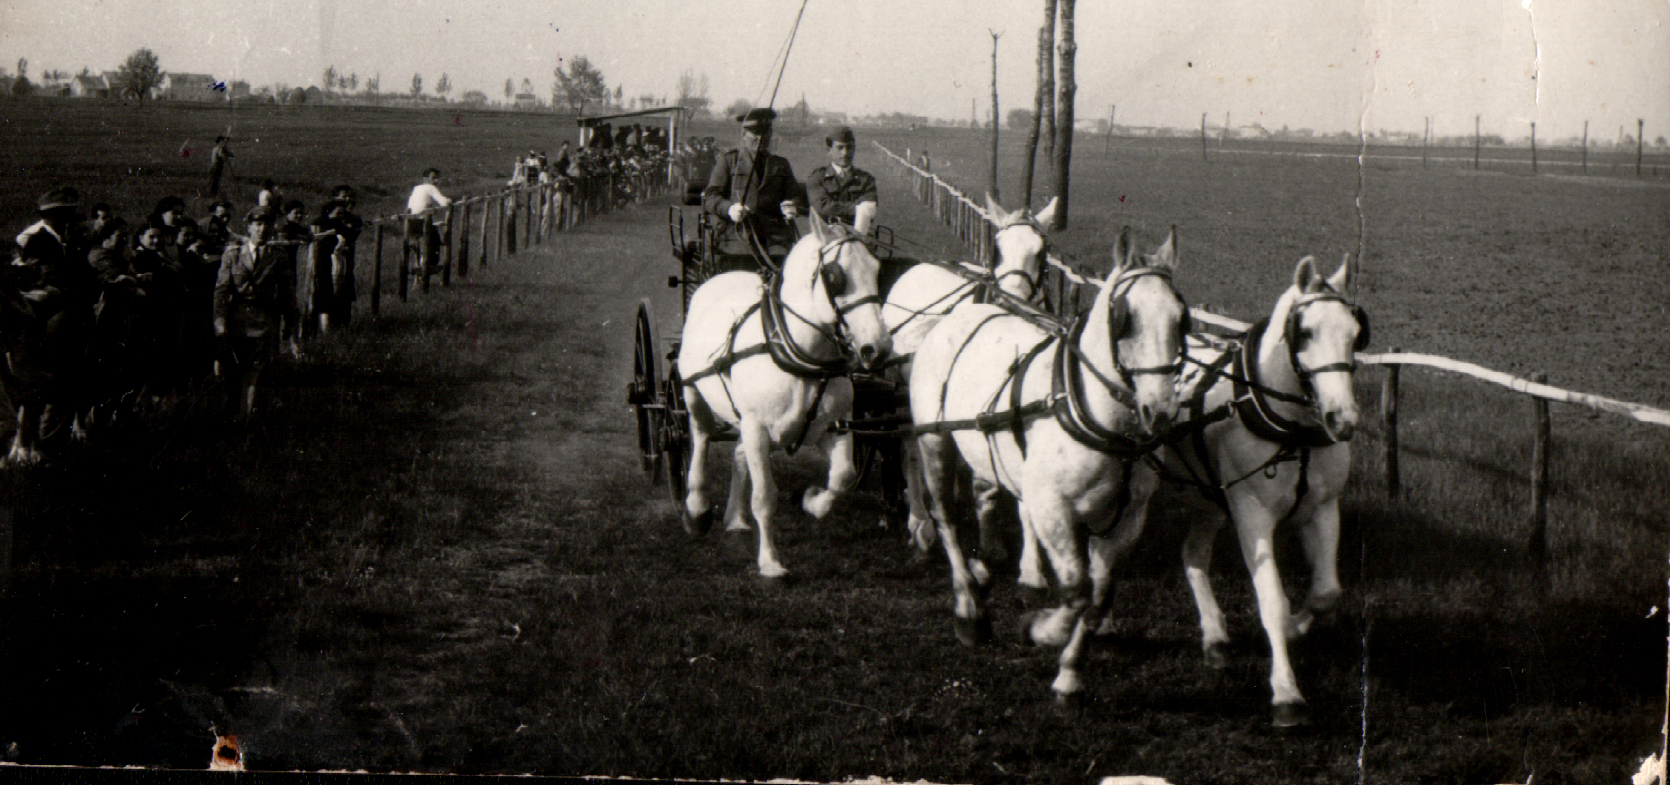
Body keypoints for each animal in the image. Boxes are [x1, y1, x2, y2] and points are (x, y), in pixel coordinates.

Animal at [674, 211, 895, 577]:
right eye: (834, 276)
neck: (801, 356)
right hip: (693, 390)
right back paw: (697, 507)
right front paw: (771, 562)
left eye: (877, 270)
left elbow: (842, 476)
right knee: (701, 437)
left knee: (737, 453)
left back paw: (735, 518)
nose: (876, 348)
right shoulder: (757, 428)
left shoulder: (834, 426)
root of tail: (720, 276)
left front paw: (812, 501)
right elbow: (765, 496)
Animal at [915, 227, 1189, 698]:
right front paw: (1040, 629)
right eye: (1124, 319)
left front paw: (1070, 674)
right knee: (946, 519)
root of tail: (957, 316)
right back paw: (969, 607)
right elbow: (1076, 592)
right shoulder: (1054, 509)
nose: (1159, 412)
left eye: (1180, 320)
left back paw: (985, 568)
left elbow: (1098, 597)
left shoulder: (1127, 519)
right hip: (935, 441)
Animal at [1162, 253, 1369, 728]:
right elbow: (1271, 600)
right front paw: (1286, 693)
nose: (1343, 418)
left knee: (1193, 556)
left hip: (1208, 501)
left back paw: (1214, 636)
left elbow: (1326, 592)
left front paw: (1295, 626)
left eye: (1355, 333)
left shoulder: (1323, 508)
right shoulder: (1251, 514)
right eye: (1305, 332)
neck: (1293, 432)